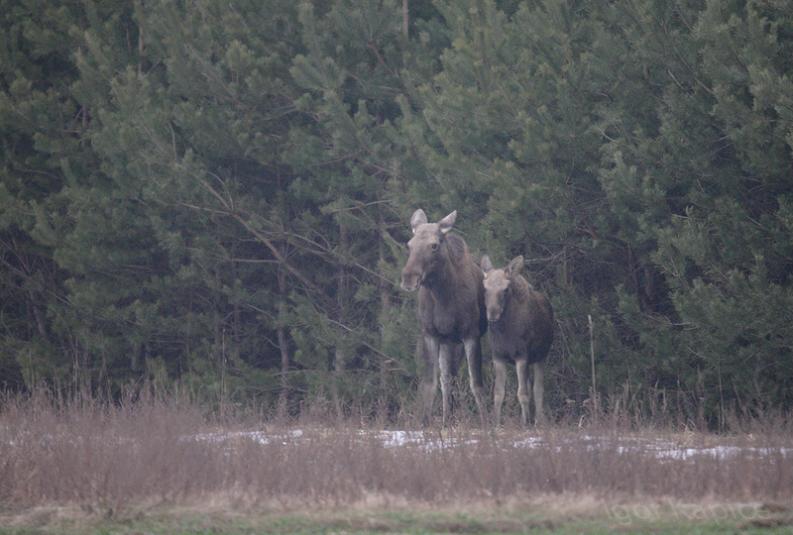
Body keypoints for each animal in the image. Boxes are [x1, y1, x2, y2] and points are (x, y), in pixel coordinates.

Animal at [402, 209, 488, 428]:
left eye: (434, 245)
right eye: (409, 244)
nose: (409, 278)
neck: (443, 296)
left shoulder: (471, 334)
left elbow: (476, 384)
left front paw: (488, 423)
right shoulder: (430, 334)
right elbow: (430, 383)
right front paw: (424, 423)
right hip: (448, 342)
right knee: (448, 379)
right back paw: (447, 419)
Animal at [480, 255, 552, 428]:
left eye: (505, 289)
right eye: (484, 288)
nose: (492, 313)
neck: (505, 332)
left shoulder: (522, 356)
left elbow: (523, 393)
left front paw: (525, 425)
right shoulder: (498, 357)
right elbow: (498, 393)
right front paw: (496, 423)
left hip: (541, 356)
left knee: (537, 389)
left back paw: (539, 420)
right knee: (530, 386)